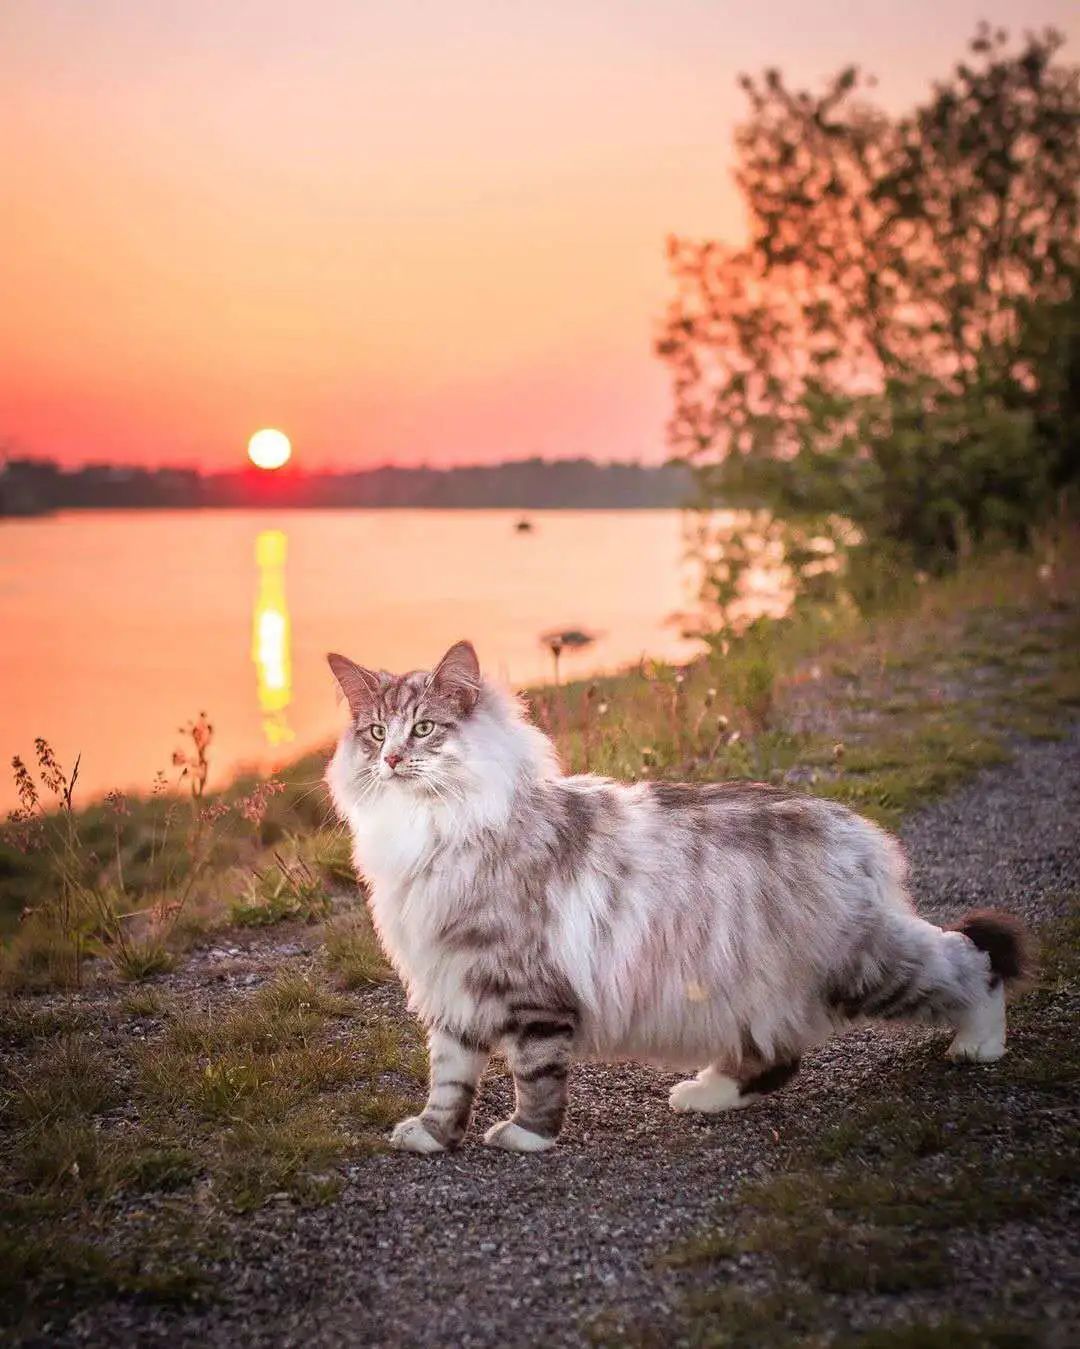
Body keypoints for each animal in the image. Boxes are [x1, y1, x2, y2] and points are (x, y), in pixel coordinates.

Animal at [326, 636, 1030, 1154]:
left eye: (424, 729)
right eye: (376, 733)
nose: (391, 759)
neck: (433, 831)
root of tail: (855, 828)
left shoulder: (525, 986)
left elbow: (534, 1072)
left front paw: (528, 1137)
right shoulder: (451, 980)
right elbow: (448, 1078)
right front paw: (432, 1136)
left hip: (858, 963)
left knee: (970, 961)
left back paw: (980, 1044)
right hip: (754, 980)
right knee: (777, 1056)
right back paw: (704, 1092)